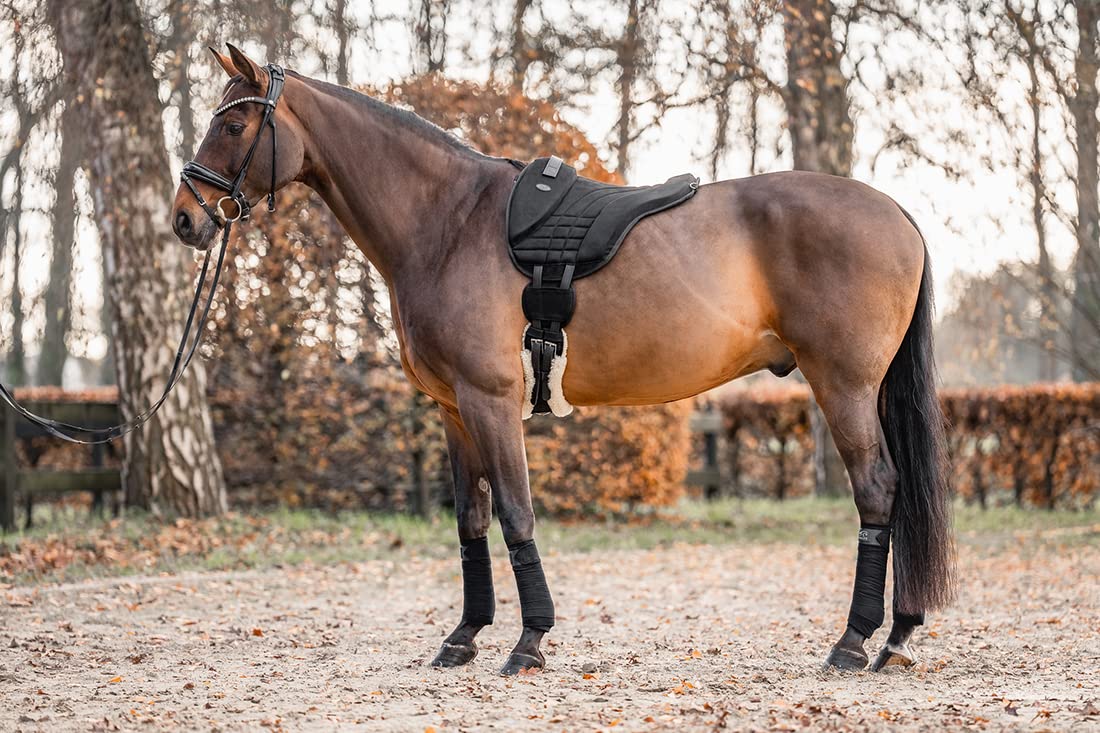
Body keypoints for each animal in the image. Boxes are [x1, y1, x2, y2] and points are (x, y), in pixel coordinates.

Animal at [172, 45, 955, 676]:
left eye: (234, 125)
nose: (185, 216)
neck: (447, 222)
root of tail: (898, 213)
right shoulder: (453, 409)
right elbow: (471, 520)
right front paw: (463, 637)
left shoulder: (490, 399)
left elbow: (516, 511)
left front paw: (529, 642)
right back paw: (896, 635)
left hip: (844, 386)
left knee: (878, 491)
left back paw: (854, 641)